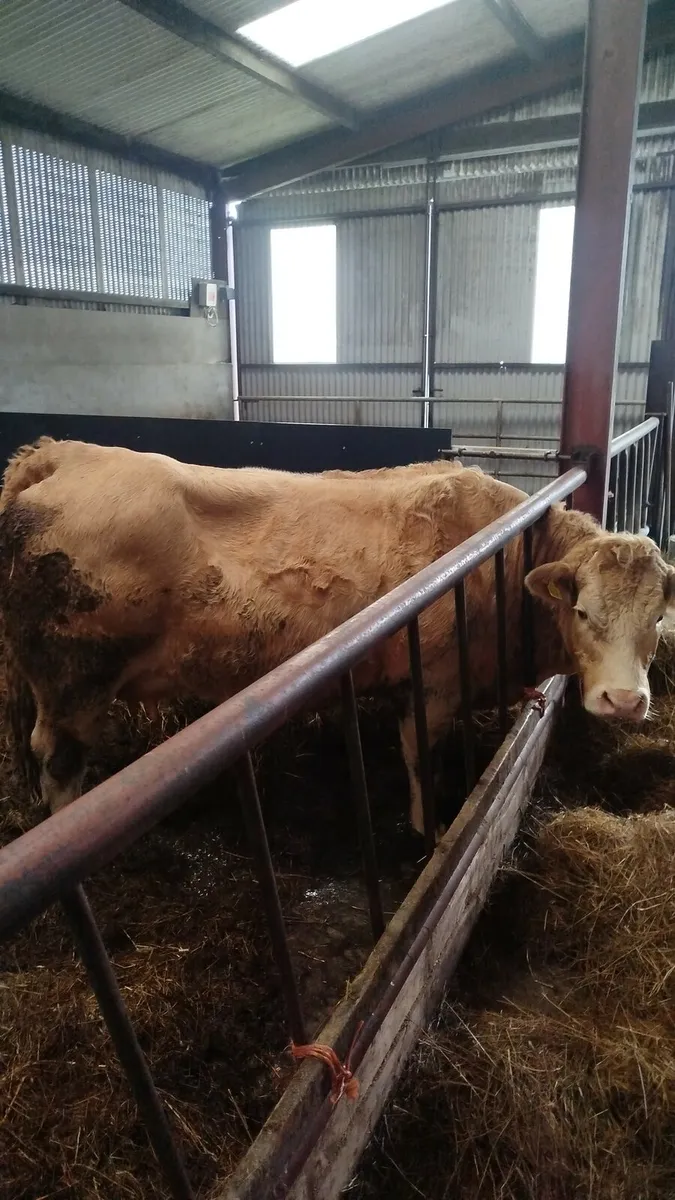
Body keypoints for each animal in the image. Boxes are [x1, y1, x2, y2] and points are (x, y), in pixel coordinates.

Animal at [0, 437, 672, 835]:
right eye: (582, 611)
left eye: (658, 619)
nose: (624, 702)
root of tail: (64, 453)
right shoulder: (433, 687)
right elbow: (419, 762)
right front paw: (425, 830)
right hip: (74, 681)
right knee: (59, 763)